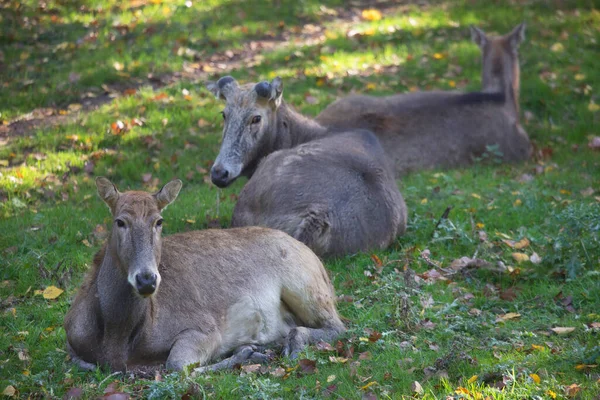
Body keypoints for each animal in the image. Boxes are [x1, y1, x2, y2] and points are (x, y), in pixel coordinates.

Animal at [63, 177, 344, 372]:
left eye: (159, 221)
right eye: (119, 221)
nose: (146, 279)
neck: (117, 339)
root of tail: (317, 261)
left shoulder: (205, 328)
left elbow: (176, 366)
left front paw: (246, 353)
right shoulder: (71, 345)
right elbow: (82, 362)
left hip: (305, 284)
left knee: (338, 325)